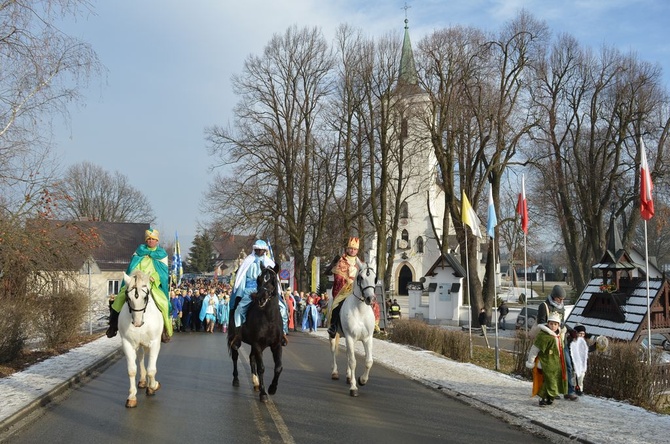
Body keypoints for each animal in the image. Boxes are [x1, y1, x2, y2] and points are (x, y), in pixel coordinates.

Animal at [119, 268, 165, 408]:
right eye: (128, 298)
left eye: (145, 297)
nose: (137, 323)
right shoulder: (127, 343)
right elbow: (131, 370)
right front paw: (131, 397)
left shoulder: (154, 343)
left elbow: (151, 369)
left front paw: (153, 386)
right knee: (140, 357)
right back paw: (143, 381)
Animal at [230, 262, 284, 404]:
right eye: (259, 280)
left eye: (273, 280)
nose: (261, 298)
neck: (269, 319)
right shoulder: (257, 344)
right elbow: (262, 368)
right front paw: (264, 393)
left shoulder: (276, 345)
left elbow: (278, 367)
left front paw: (272, 388)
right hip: (236, 339)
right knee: (235, 356)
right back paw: (236, 380)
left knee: (251, 358)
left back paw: (255, 383)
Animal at [330, 266, 378, 398]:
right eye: (361, 277)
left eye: (375, 278)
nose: (370, 299)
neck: (360, 310)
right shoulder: (350, 337)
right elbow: (353, 362)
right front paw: (353, 387)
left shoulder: (367, 338)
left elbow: (369, 361)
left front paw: (362, 380)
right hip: (334, 336)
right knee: (334, 351)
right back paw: (335, 373)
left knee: (347, 354)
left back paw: (348, 376)